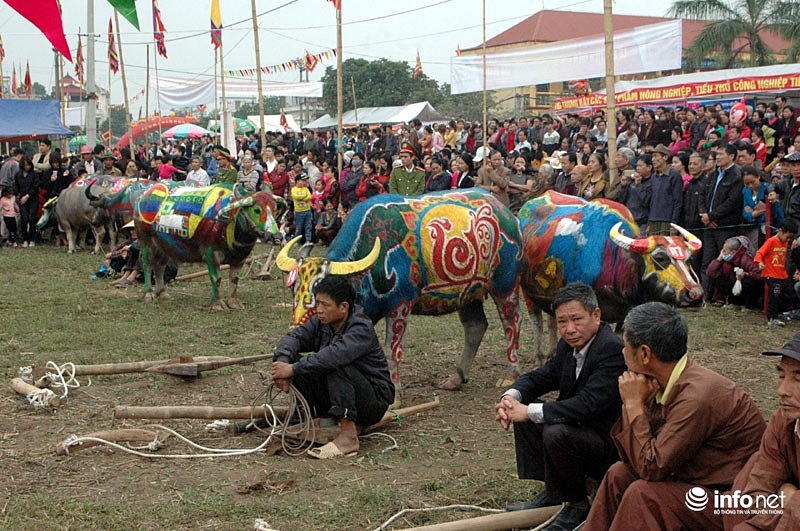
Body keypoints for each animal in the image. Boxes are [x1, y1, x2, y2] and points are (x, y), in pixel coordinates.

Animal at [134, 184, 278, 310]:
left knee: (159, 266)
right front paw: (217, 304)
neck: (230, 221)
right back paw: (148, 294)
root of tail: (143, 196)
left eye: (274, 209)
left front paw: (233, 303)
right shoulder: (211, 255)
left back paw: (162, 293)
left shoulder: (240, 259)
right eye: (257, 210)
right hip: (146, 242)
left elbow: (234, 279)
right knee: (147, 265)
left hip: (164, 245)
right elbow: (217, 278)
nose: (276, 236)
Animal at [276, 190, 524, 390]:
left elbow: (391, 350)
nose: (296, 327)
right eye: (294, 289)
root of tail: (508, 215)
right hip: (467, 292)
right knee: (475, 327)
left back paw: (510, 375)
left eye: (319, 290)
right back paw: (456, 378)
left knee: (511, 321)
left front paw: (395, 395)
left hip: (505, 284)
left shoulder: (400, 305)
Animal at [520, 192, 700, 366]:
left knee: (551, 320)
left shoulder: (625, 315)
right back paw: (539, 357)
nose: (695, 294)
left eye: (689, 259)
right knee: (537, 323)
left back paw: (551, 352)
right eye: (660, 258)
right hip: (527, 294)